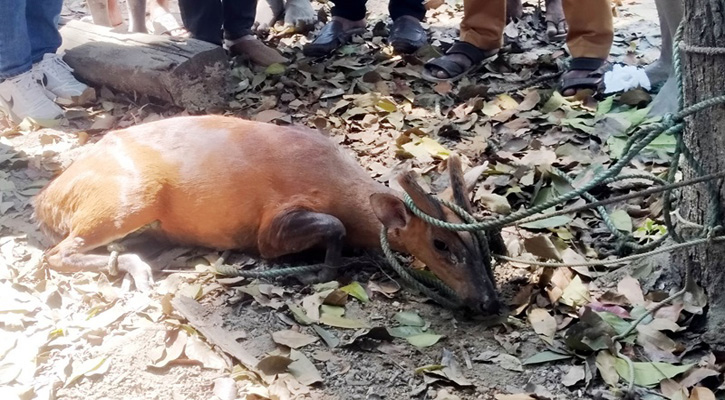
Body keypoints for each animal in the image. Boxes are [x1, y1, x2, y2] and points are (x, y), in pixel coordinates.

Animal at [32, 114, 498, 314]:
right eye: (440, 244)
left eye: (487, 243)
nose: (490, 303)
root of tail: (47, 199)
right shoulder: (271, 224)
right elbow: (333, 226)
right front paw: (323, 272)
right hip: (128, 197)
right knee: (55, 254)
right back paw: (137, 268)